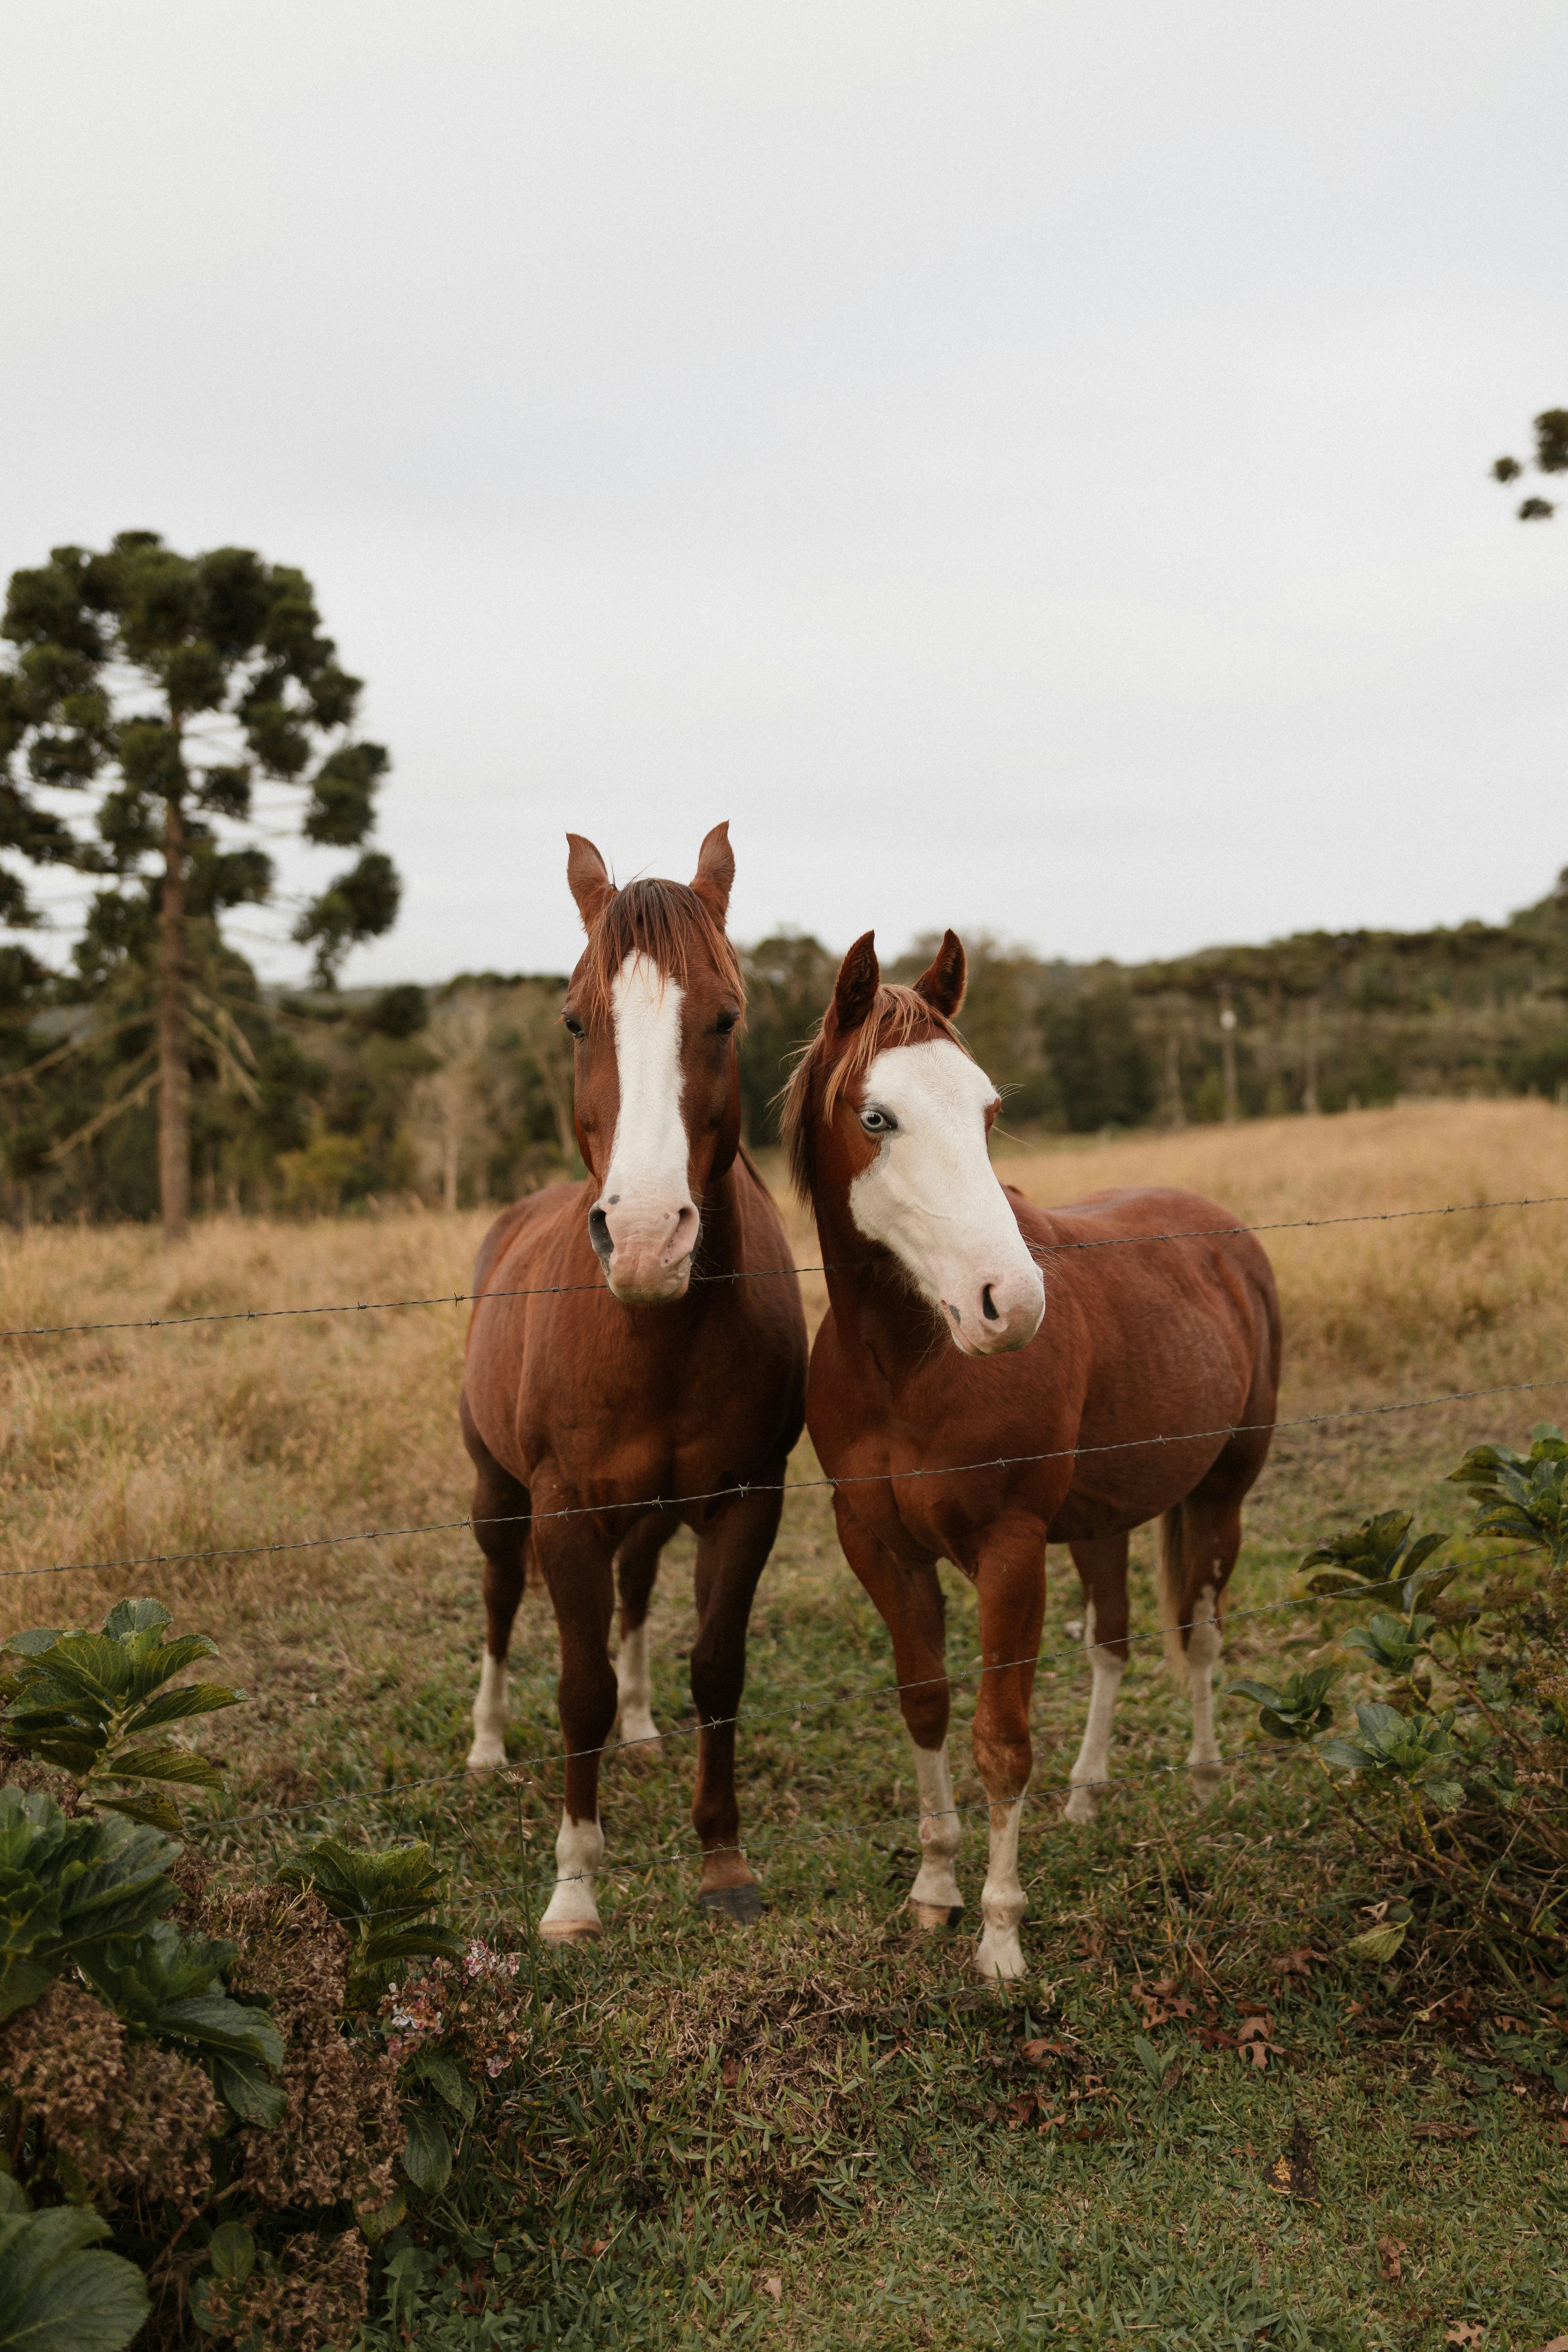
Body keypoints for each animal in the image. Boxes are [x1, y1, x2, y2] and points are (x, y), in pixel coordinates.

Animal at [459, 825, 807, 1942]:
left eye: (727, 1015)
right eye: (577, 1020)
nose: (649, 1239)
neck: (658, 1333)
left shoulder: (747, 1502)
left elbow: (716, 1667)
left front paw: (722, 1861)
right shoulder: (563, 1511)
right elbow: (576, 1689)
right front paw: (573, 1887)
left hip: (651, 1516)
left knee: (640, 1597)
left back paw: (645, 1727)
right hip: (496, 1493)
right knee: (497, 1599)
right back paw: (486, 1744)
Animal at [782, 928, 1280, 1981]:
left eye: (988, 1111)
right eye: (875, 1116)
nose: (1008, 1305)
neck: (907, 1364)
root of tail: (1226, 1235)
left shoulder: (1009, 1551)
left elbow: (1001, 1739)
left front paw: (1000, 1935)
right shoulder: (878, 1548)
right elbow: (926, 1707)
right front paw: (933, 1889)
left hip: (1220, 1496)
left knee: (1198, 1633)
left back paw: (1204, 1778)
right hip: (1099, 1522)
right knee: (1113, 1641)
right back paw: (1090, 1795)